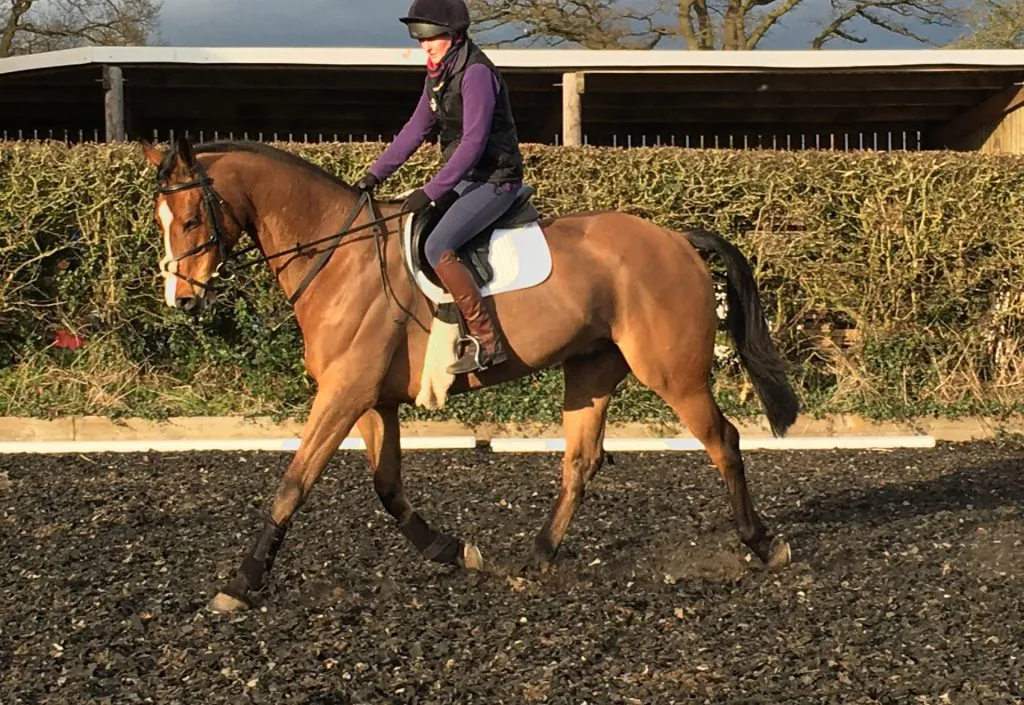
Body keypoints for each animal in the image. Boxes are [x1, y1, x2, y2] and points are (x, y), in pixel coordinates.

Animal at [140, 136, 799, 613]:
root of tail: (676, 239)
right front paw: (454, 552)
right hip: (591, 369)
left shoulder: (345, 393)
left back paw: (764, 544)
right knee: (581, 461)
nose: (182, 299)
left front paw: (242, 582)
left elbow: (293, 483)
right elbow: (387, 487)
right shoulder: (373, 401)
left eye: (193, 219)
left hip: (673, 374)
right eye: (160, 219)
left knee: (723, 441)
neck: (340, 257)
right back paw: (535, 559)